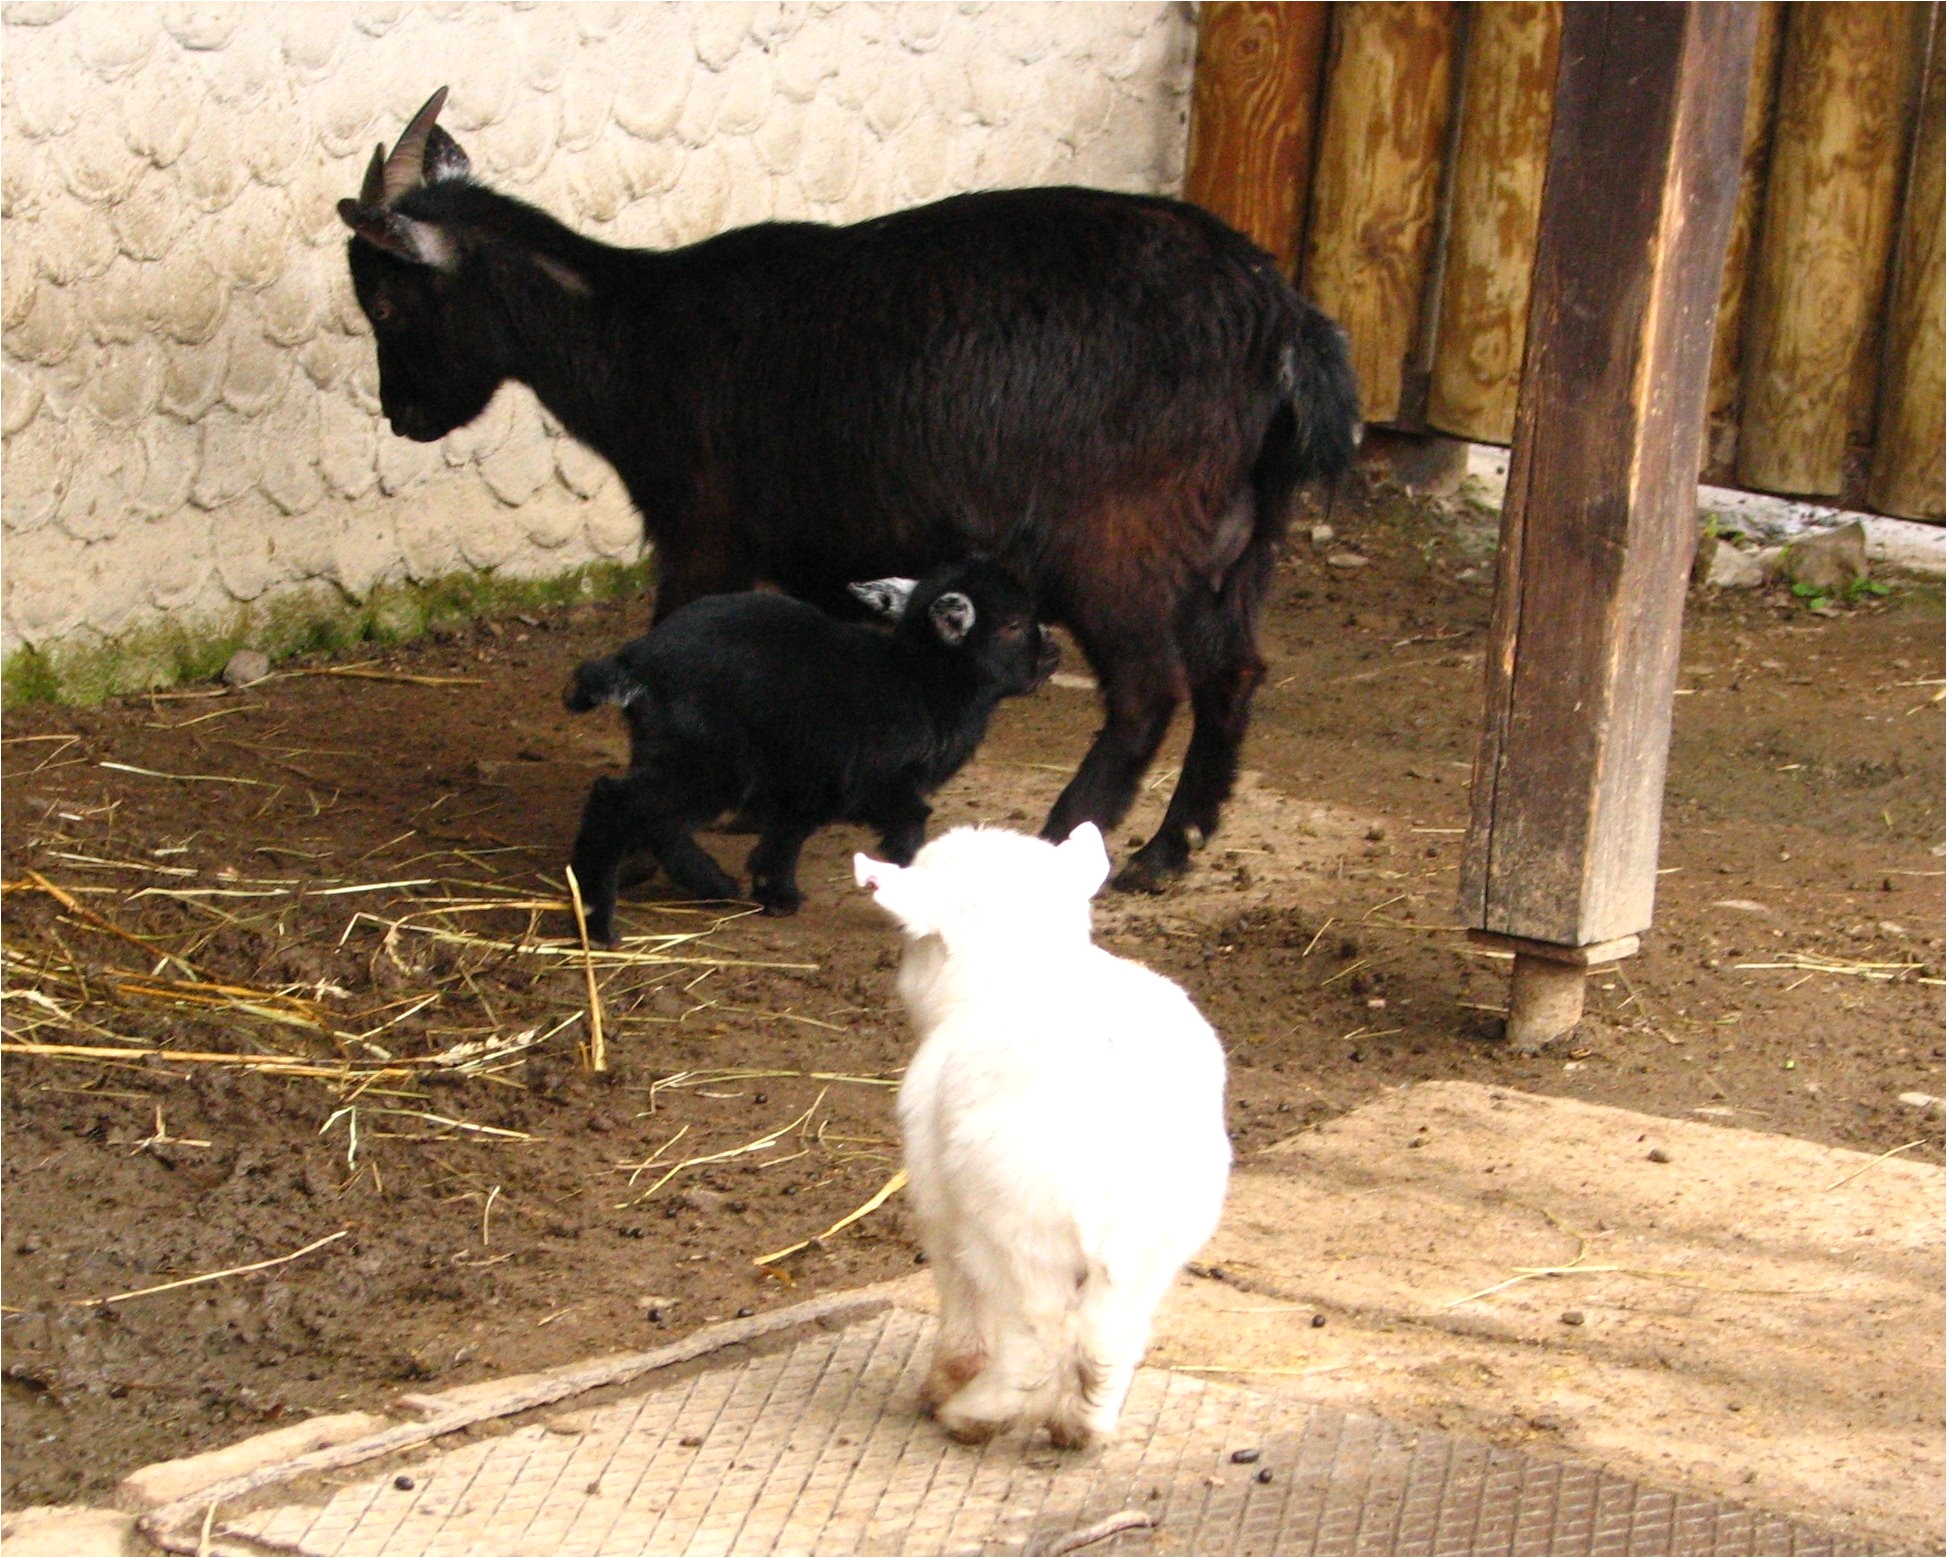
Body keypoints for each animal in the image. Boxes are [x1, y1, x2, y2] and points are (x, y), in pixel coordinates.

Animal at [346, 88, 1355, 888]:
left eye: (387, 302)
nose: (403, 415)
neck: (645, 334)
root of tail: (1284, 322)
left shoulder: (703, 529)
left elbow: (673, 644)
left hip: (1118, 543)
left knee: (1149, 689)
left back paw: (1068, 838)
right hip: (1237, 539)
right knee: (1233, 674)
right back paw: (1167, 851)